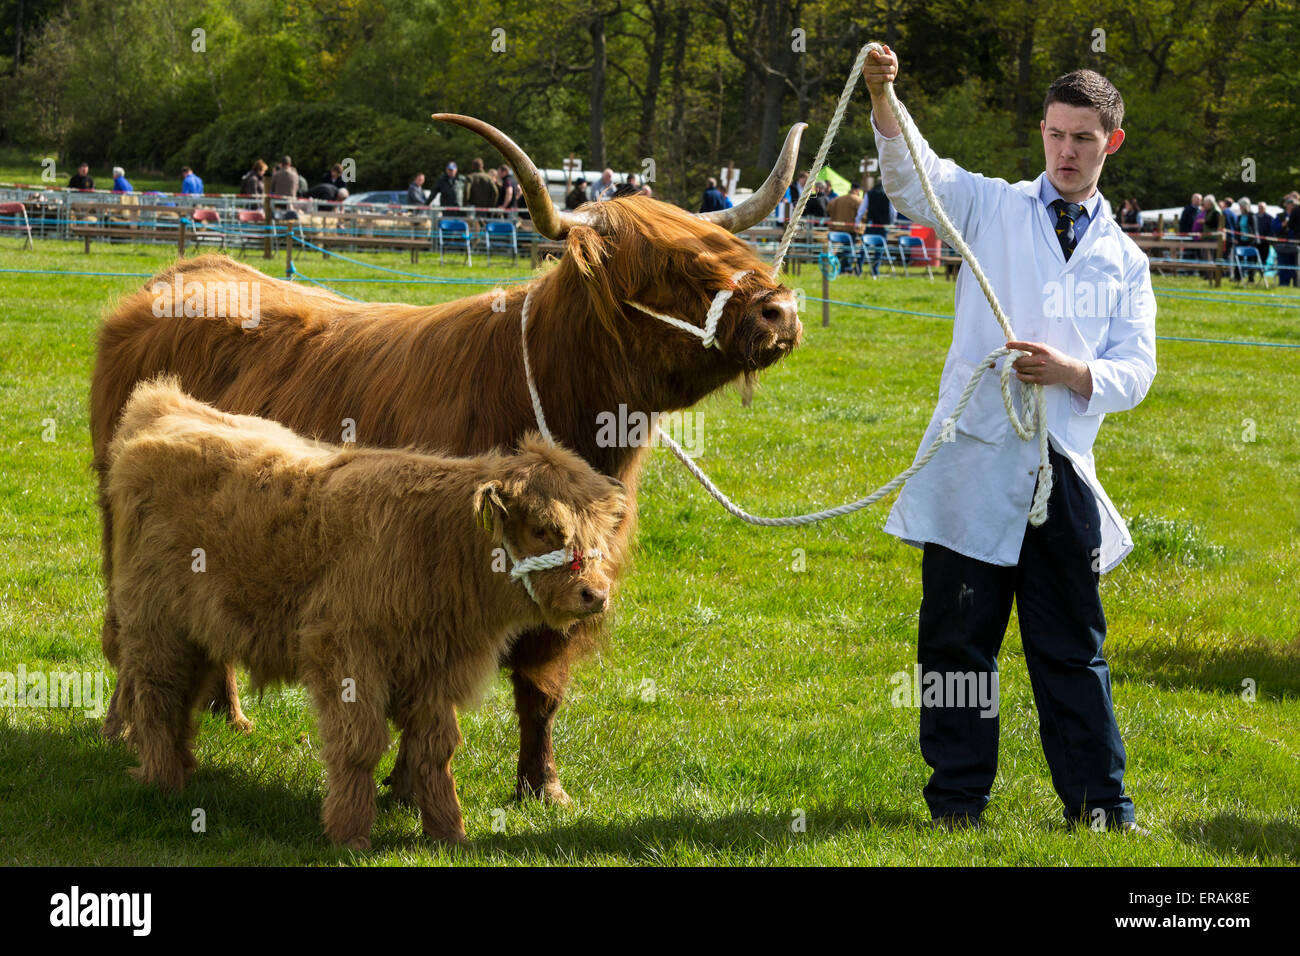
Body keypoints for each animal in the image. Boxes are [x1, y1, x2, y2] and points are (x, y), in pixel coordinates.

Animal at [106, 377, 624, 848]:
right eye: (542, 529)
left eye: (599, 531)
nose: (595, 594)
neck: (436, 544)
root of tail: (164, 402)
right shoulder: (346, 653)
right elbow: (360, 744)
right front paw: (351, 832)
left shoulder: (435, 668)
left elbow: (435, 749)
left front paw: (448, 832)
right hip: (155, 621)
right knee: (156, 692)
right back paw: (162, 780)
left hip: (196, 626)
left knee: (180, 693)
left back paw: (180, 765)